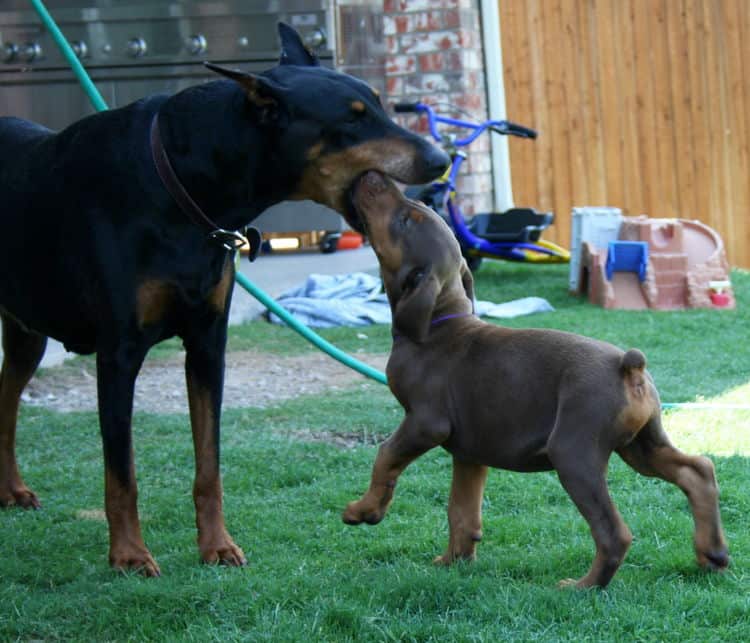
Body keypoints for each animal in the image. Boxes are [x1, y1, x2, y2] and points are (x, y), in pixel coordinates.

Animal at [0, 22, 446, 576]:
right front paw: (129, 554)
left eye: (381, 105)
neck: (183, 189)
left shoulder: (208, 345)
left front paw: (216, 545)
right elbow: (122, 473)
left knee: (6, 402)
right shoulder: (118, 354)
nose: (441, 160)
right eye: (352, 118)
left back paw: (11, 490)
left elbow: (209, 465)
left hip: (26, 334)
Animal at [344, 171, 732, 588]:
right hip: (641, 444)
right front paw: (452, 562)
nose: (372, 176)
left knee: (615, 533)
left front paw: (365, 510)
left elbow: (385, 455)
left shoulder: (425, 422)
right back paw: (712, 553)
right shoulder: (469, 452)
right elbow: (461, 511)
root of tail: (629, 367)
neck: (439, 322)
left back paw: (582, 586)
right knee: (697, 470)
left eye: (404, 221)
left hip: (574, 453)